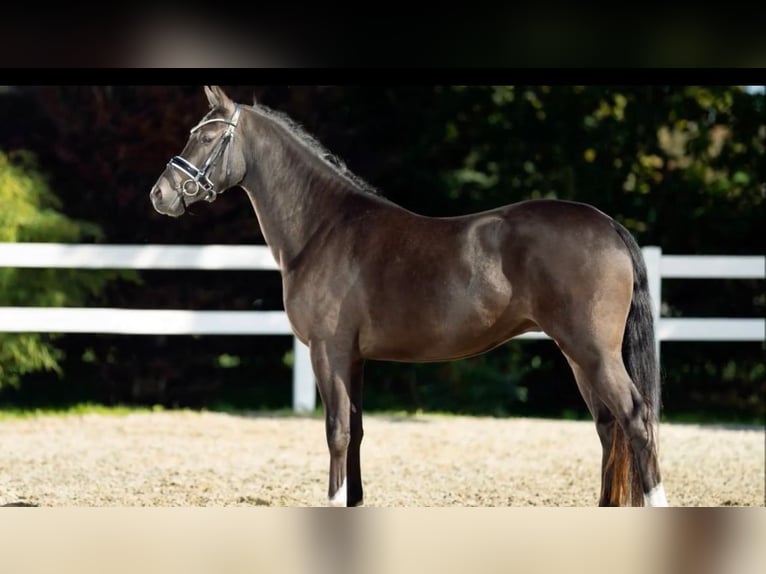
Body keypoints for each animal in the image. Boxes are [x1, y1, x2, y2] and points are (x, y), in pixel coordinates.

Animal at [148, 85, 664, 508]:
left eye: (208, 138)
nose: (160, 194)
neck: (323, 228)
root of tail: (608, 225)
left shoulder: (327, 352)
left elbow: (337, 432)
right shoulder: (352, 357)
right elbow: (356, 431)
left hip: (593, 353)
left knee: (635, 420)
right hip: (578, 355)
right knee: (608, 427)